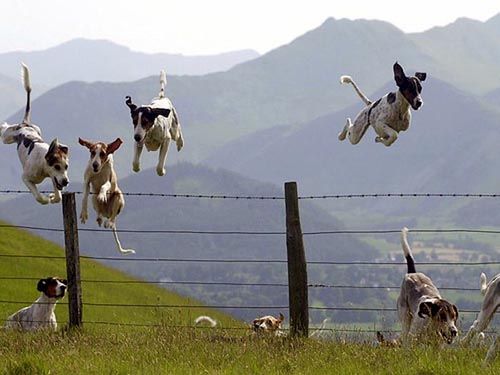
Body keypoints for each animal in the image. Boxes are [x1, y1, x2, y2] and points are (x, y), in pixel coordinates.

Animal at [0, 63, 69, 204]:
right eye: (57, 166)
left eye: (66, 166)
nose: (66, 182)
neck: (43, 164)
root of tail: (25, 124)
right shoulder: (26, 178)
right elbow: (38, 197)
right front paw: (46, 198)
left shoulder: (54, 178)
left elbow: (58, 196)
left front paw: (52, 196)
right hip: (8, 137)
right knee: (4, 129)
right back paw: (2, 126)